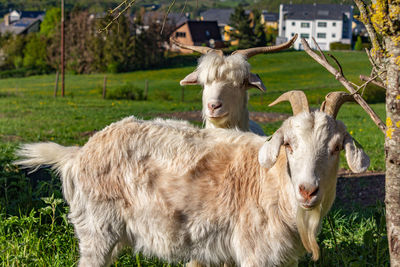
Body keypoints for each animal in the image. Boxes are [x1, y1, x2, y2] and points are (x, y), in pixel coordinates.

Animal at [15, 91, 368, 266]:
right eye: (289, 145)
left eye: (337, 147)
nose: (308, 191)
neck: (270, 184)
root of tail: (78, 153)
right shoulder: (256, 255)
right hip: (96, 229)